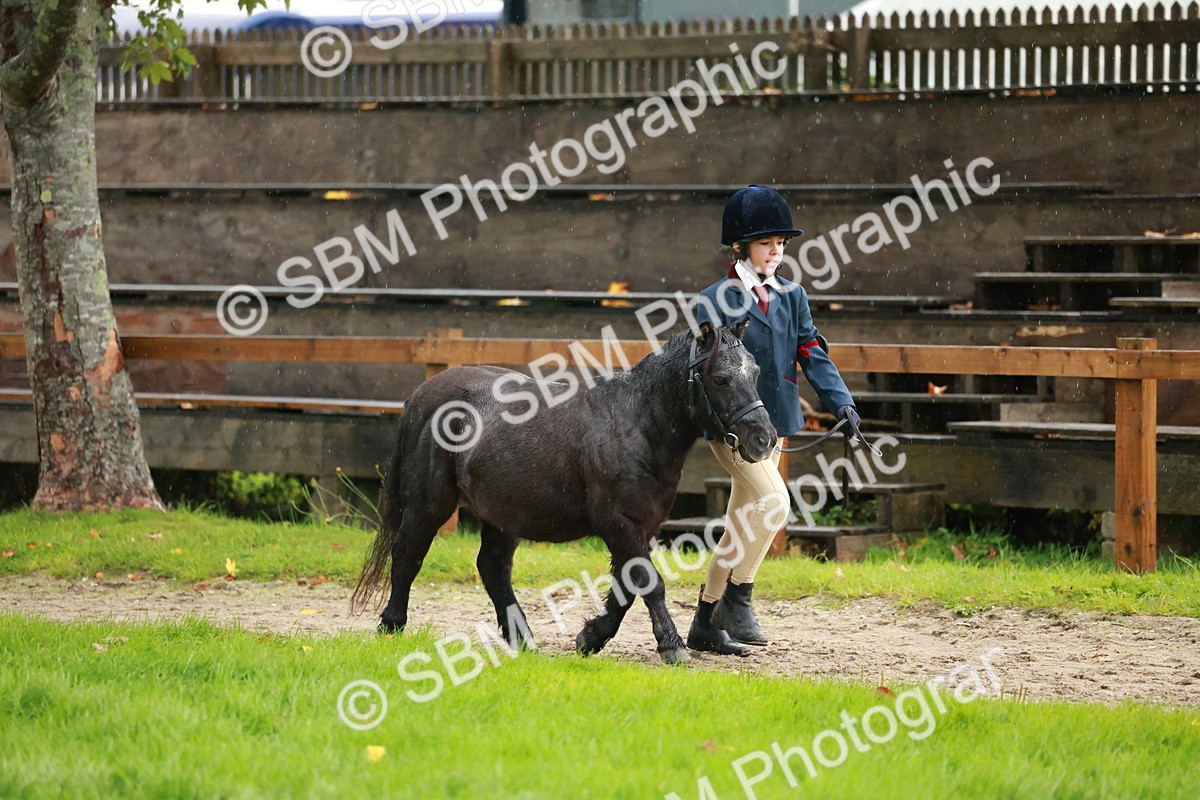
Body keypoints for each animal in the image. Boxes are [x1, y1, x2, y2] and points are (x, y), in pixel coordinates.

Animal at [350, 319, 775, 664]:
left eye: (755, 372)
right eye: (720, 378)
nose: (764, 439)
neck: (636, 422)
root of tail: (421, 396)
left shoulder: (643, 525)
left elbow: (626, 587)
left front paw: (590, 638)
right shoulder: (619, 522)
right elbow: (648, 582)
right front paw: (671, 646)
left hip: (501, 515)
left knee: (492, 568)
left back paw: (522, 639)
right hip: (428, 505)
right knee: (407, 556)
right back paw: (392, 626)